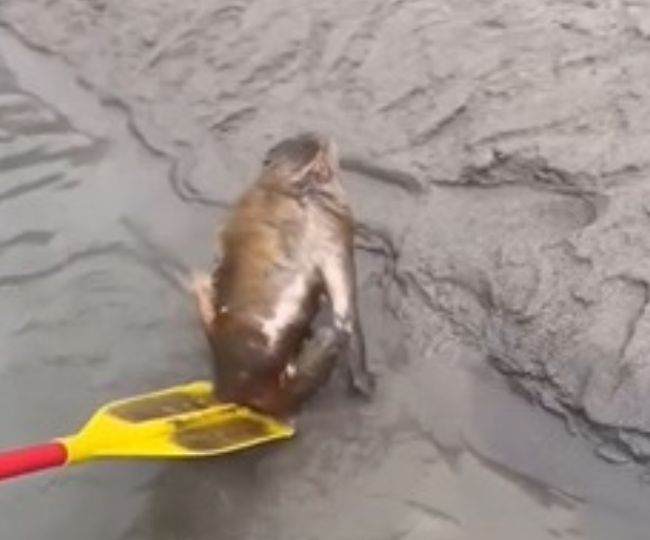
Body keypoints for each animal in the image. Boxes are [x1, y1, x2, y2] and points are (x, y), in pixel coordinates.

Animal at [191, 132, 375, 417]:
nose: (318, 137)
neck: (300, 190)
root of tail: (228, 391)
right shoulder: (334, 233)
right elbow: (347, 314)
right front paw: (365, 382)